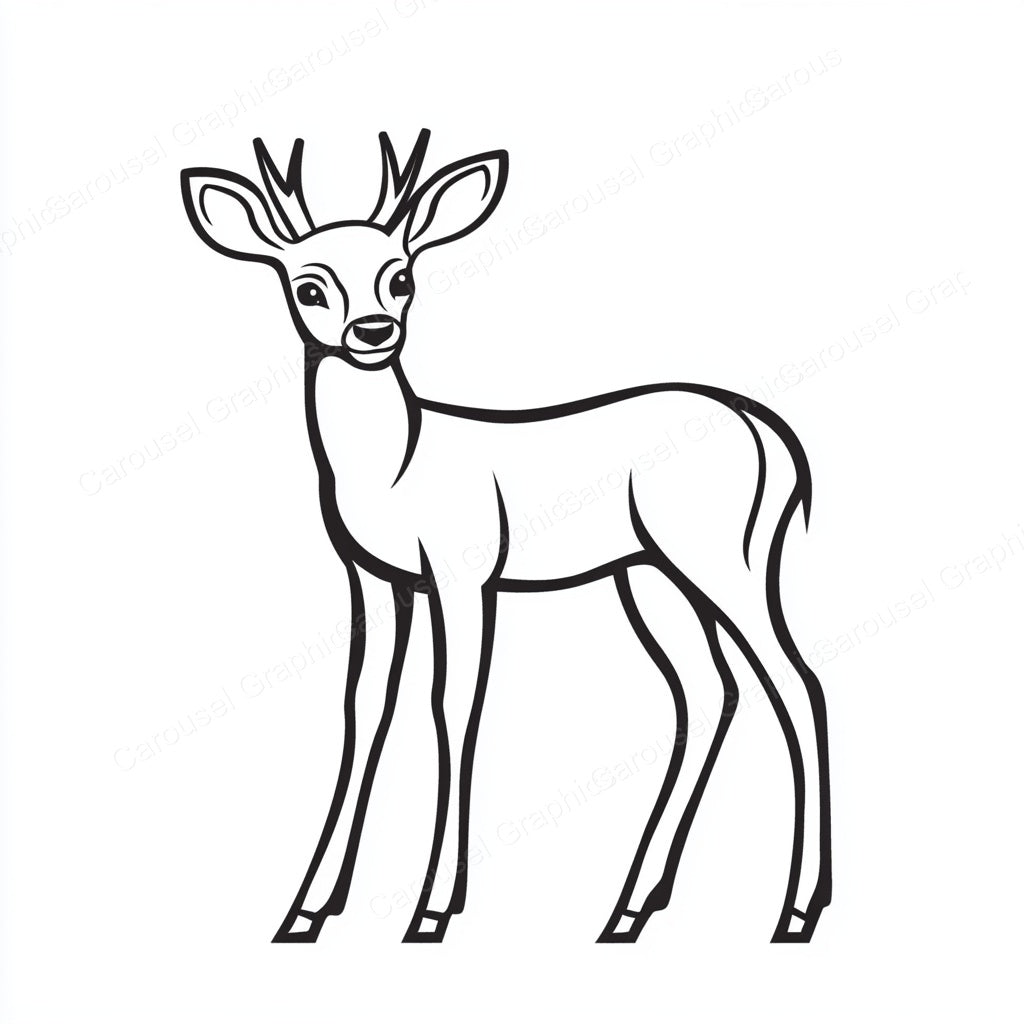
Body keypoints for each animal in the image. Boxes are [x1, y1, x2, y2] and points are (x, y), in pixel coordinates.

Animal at [180, 130, 832, 944]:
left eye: (401, 277)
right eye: (309, 287)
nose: (373, 332)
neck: (398, 465)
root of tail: (770, 435)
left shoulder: (464, 571)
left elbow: (452, 707)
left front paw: (431, 910)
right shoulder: (375, 578)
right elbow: (365, 707)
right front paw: (305, 910)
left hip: (721, 557)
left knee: (797, 683)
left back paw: (795, 910)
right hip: (648, 575)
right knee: (711, 692)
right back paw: (628, 909)